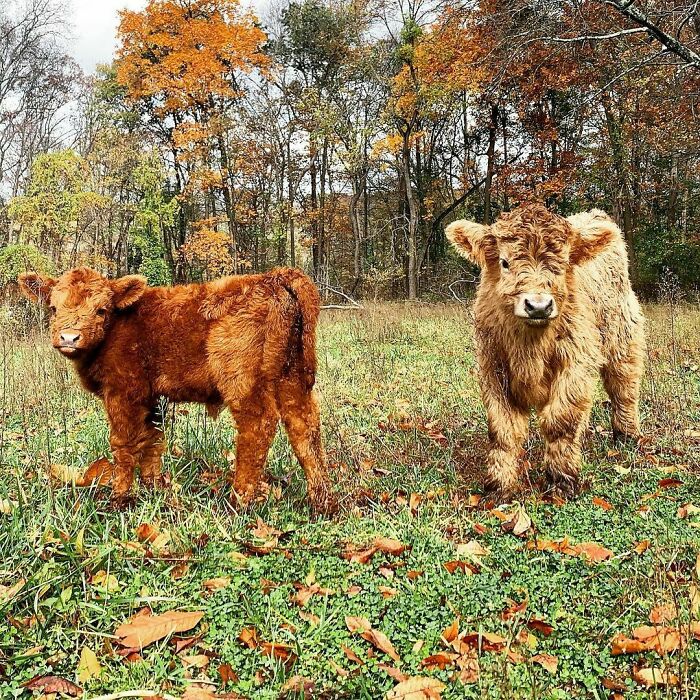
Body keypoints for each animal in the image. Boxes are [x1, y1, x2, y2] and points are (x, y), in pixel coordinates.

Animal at [19, 266, 336, 515]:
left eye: (101, 310)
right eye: (53, 308)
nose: (69, 337)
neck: (117, 328)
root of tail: (273, 277)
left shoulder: (123, 393)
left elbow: (123, 444)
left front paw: (120, 498)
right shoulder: (150, 398)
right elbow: (152, 440)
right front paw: (153, 487)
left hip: (244, 381)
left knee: (258, 426)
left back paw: (238, 502)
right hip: (292, 378)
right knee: (304, 427)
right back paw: (322, 502)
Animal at [446, 204, 645, 500]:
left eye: (562, 264)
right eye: (504, 263)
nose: (538, 306)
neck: (530, 347)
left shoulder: (576, 363)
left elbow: (561, 421)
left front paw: (562, 481)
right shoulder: (493, 367)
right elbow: (502, 429)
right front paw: (499, 485)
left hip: (623, 335)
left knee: (624, 387)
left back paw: (627, 436)